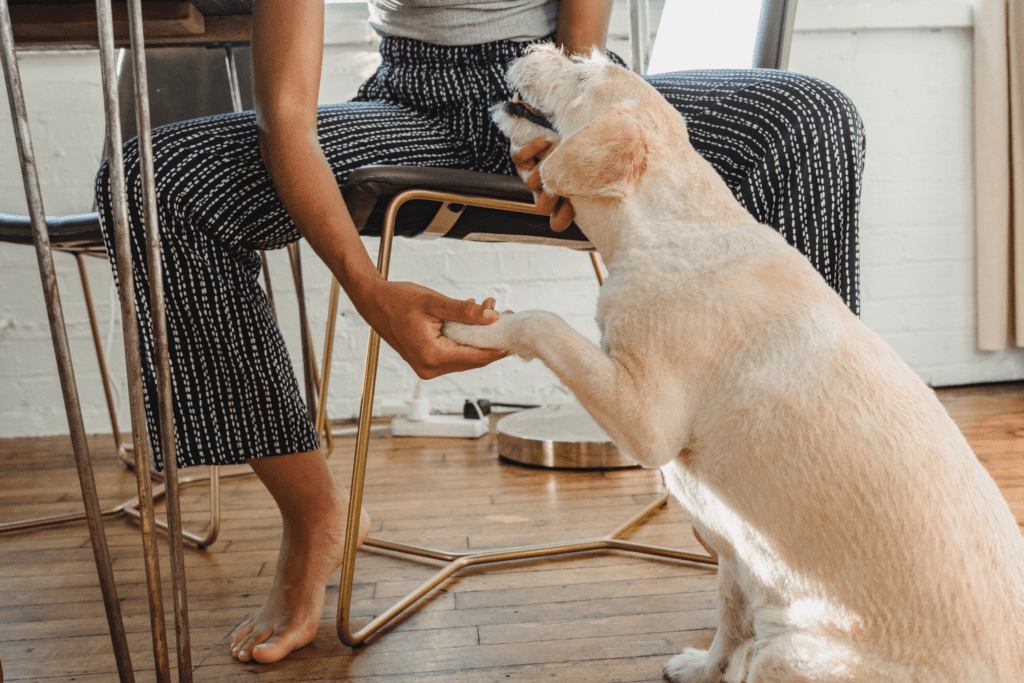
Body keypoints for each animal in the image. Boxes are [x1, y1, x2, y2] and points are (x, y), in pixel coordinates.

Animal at [444, 45, 1024, 679]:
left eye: (580, 74)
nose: (527, 48)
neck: (668, 227)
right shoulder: (735, 556)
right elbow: (727, 616)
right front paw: (703, 668)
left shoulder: (648, 424)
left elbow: (542, 321)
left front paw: (473, 326)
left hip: (791, 651)